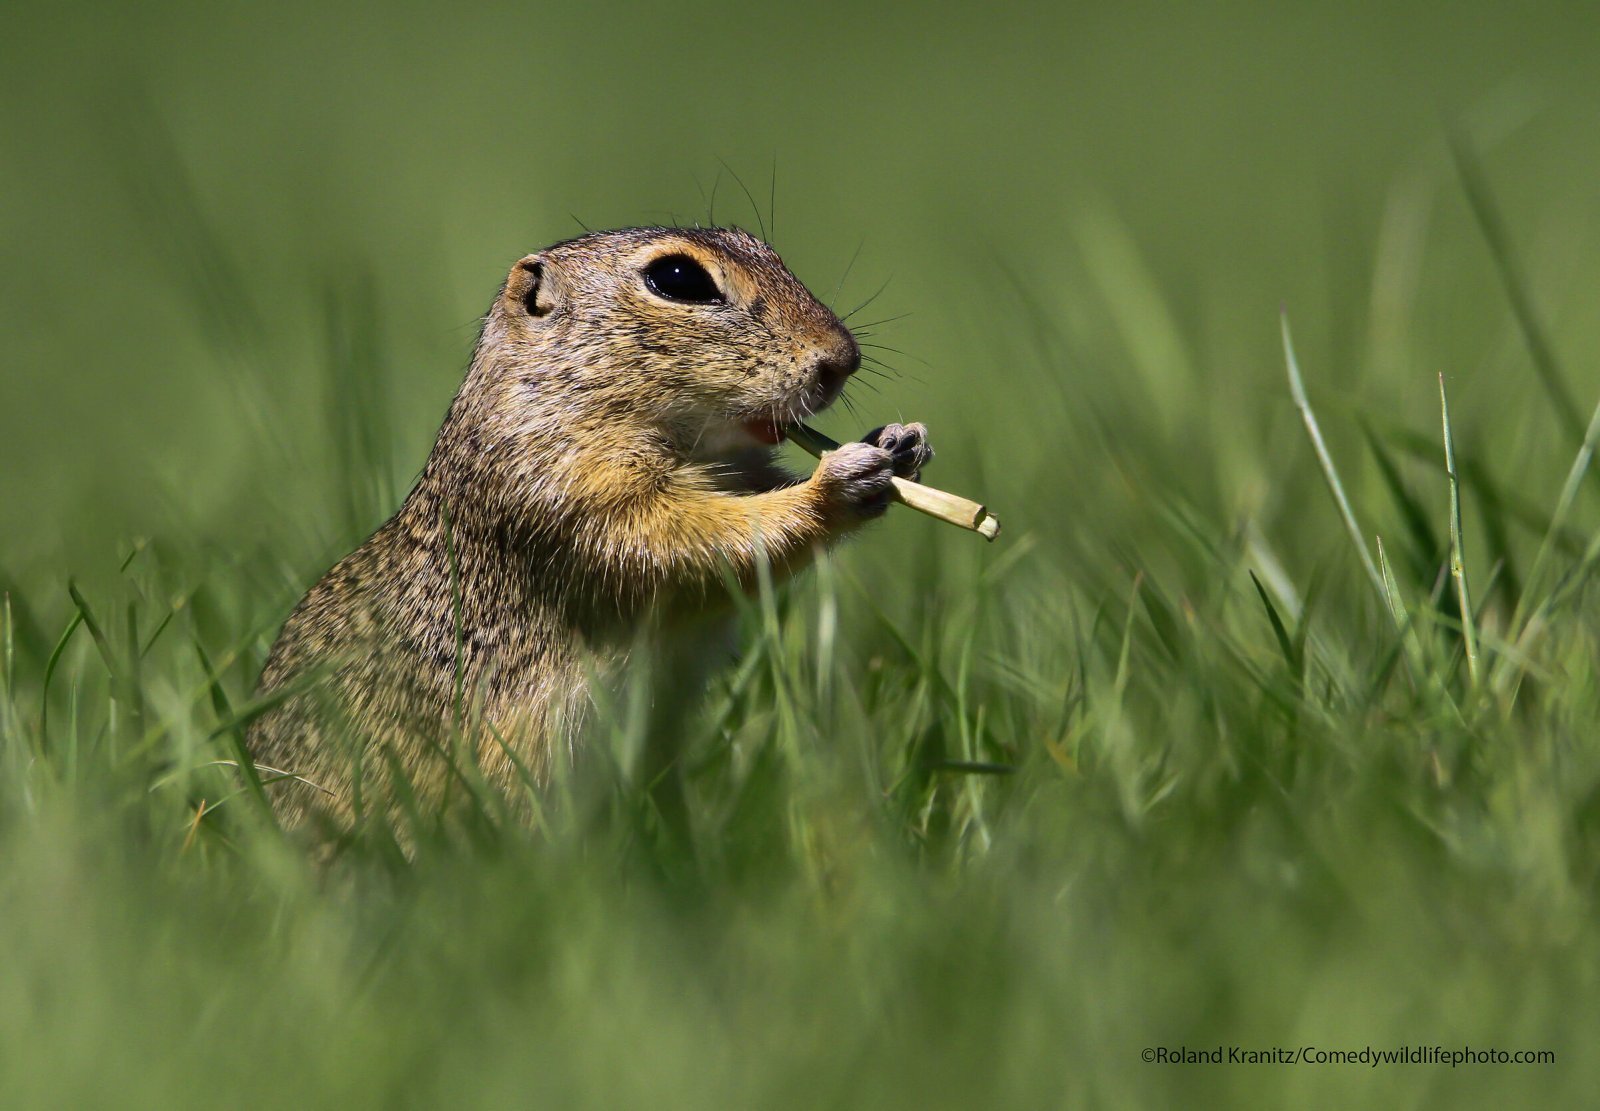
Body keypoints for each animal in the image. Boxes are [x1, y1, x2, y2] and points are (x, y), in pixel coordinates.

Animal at [243, 228, 934, 832]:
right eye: (678, 279)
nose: (843, 360)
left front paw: (899, 443)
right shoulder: (571, 494)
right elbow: (687, 543)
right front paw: (839, 482)